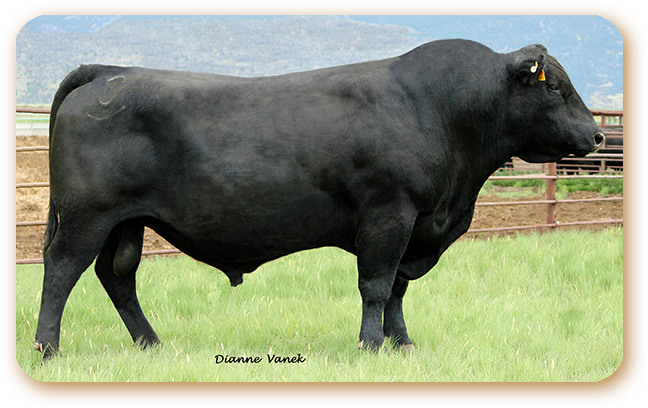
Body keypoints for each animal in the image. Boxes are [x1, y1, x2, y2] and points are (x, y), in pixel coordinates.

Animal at [33, 39, 604, 359]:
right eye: (554, 87)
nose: (597, 135)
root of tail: (109, 71)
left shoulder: (415, 224)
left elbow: (397, 291)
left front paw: (402, 344)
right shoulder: (389, 214)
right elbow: (376, 286)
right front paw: (371, 347)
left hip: (125, 221)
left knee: (117, 274)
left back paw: (150, 344)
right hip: (85, 216)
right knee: (61, 270)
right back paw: (48, 349)